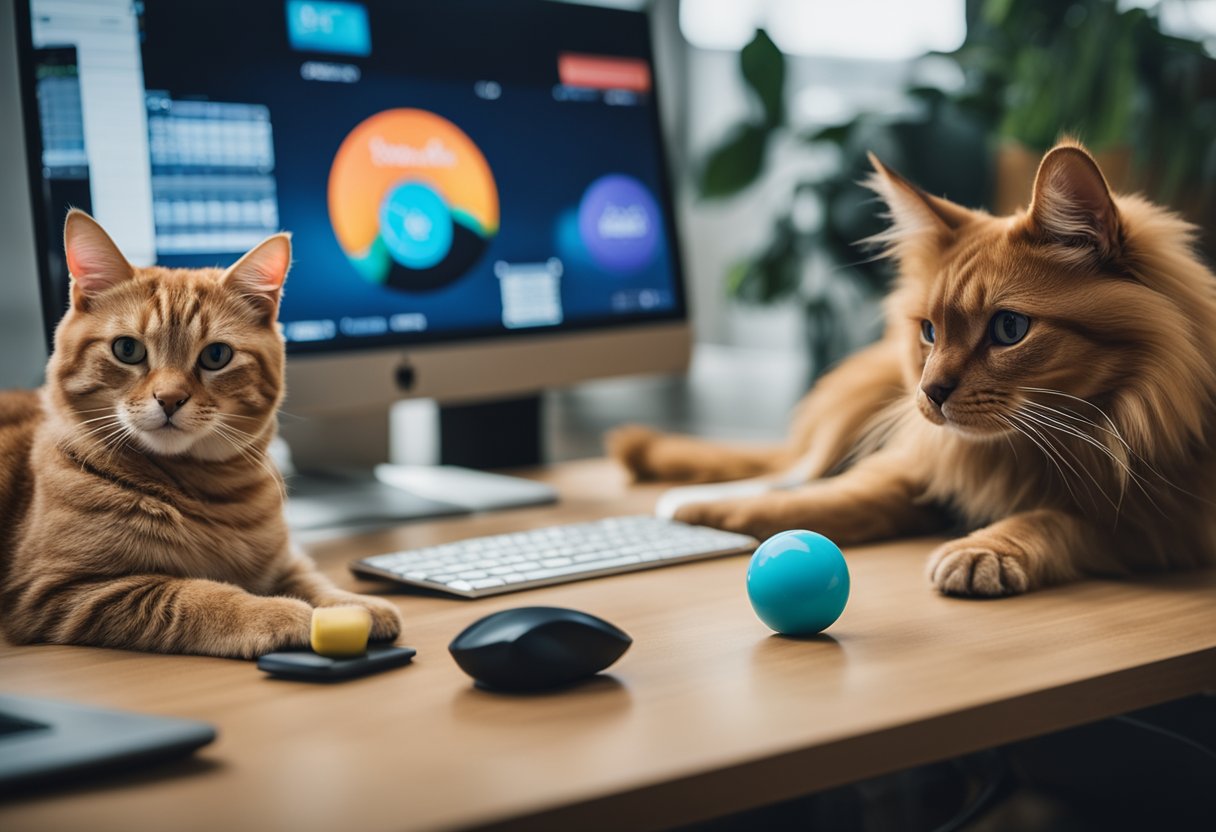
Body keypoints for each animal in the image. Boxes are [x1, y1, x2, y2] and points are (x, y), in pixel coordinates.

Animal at [1, 212, 408, 656]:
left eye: (216, 355)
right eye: (127, 350)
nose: (169, 399)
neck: (211, 492)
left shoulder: (280, 562)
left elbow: (312, 580)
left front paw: (352, 605)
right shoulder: (64, 590)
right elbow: (199, 594)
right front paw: (282, 612)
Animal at [612, 142, 1216, 598]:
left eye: (1009, 329)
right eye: (928, 331)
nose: (931, 392)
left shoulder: (1159, 525)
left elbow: (1054, 519)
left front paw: (985, 549)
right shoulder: (916, 468)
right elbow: (837, 500)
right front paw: (709, 517)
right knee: (791, 467)